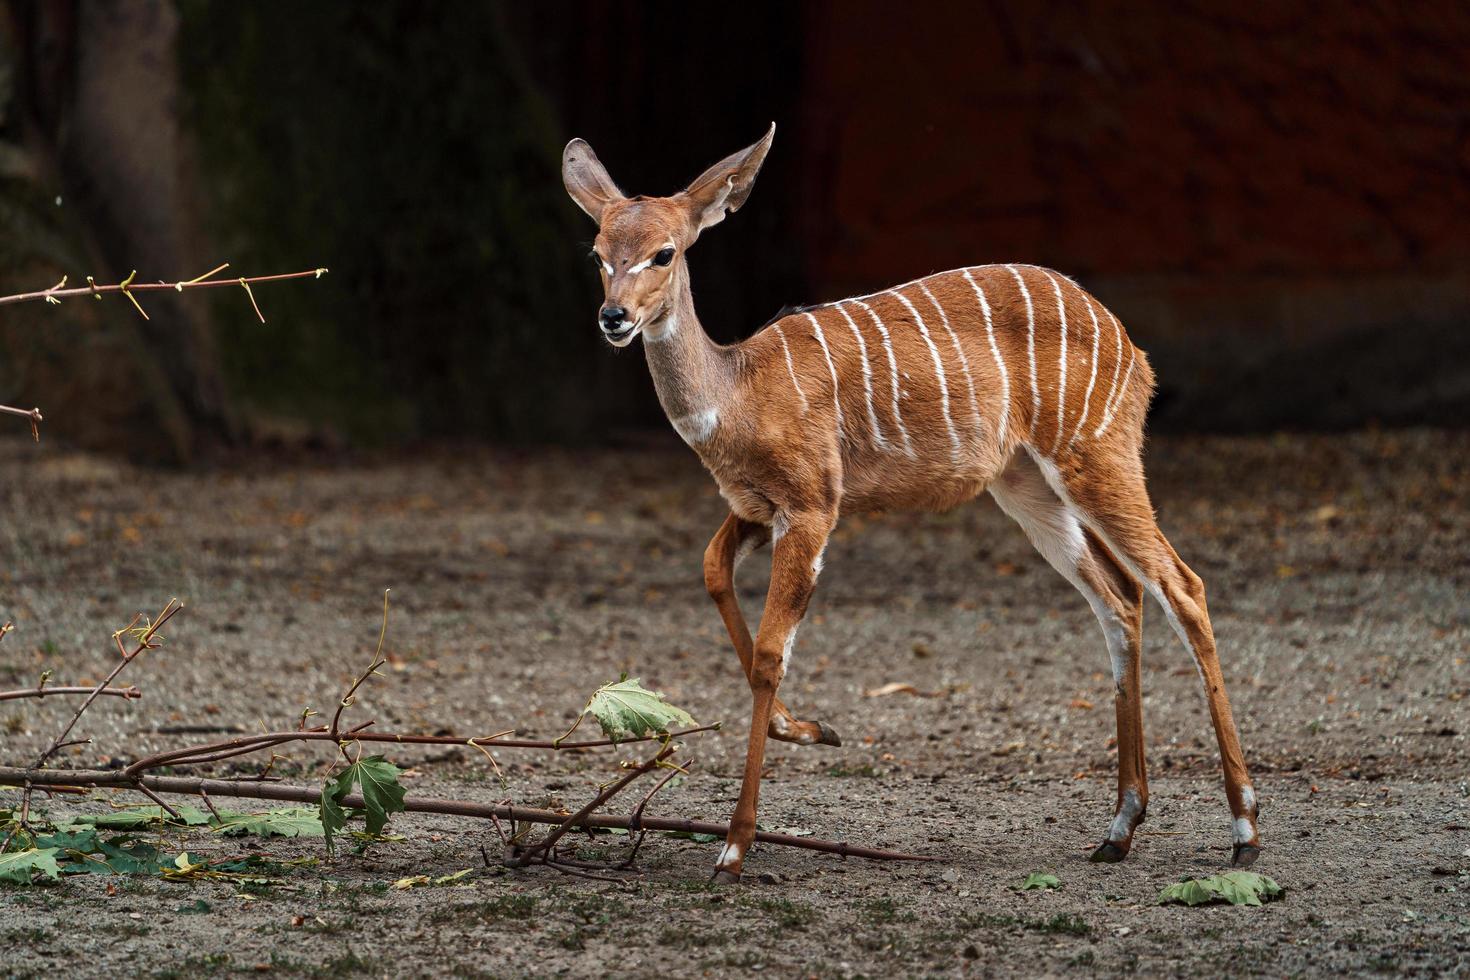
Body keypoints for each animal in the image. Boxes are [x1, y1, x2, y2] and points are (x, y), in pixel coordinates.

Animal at [561, 122, 1264, 881]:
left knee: (1181, 586)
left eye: (665, 252)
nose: (614, 318)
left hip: (1095, 457)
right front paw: (809, 730)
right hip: (1028, 486)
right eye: (598, 253)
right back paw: (1119, 827)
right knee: (1120, 597)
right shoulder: (757, 507)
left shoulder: (814, 505)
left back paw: (1245, 830)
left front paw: (735, 846)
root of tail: (1134, 351)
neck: (737, 391)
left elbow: (772, 652)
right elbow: (713, 571)